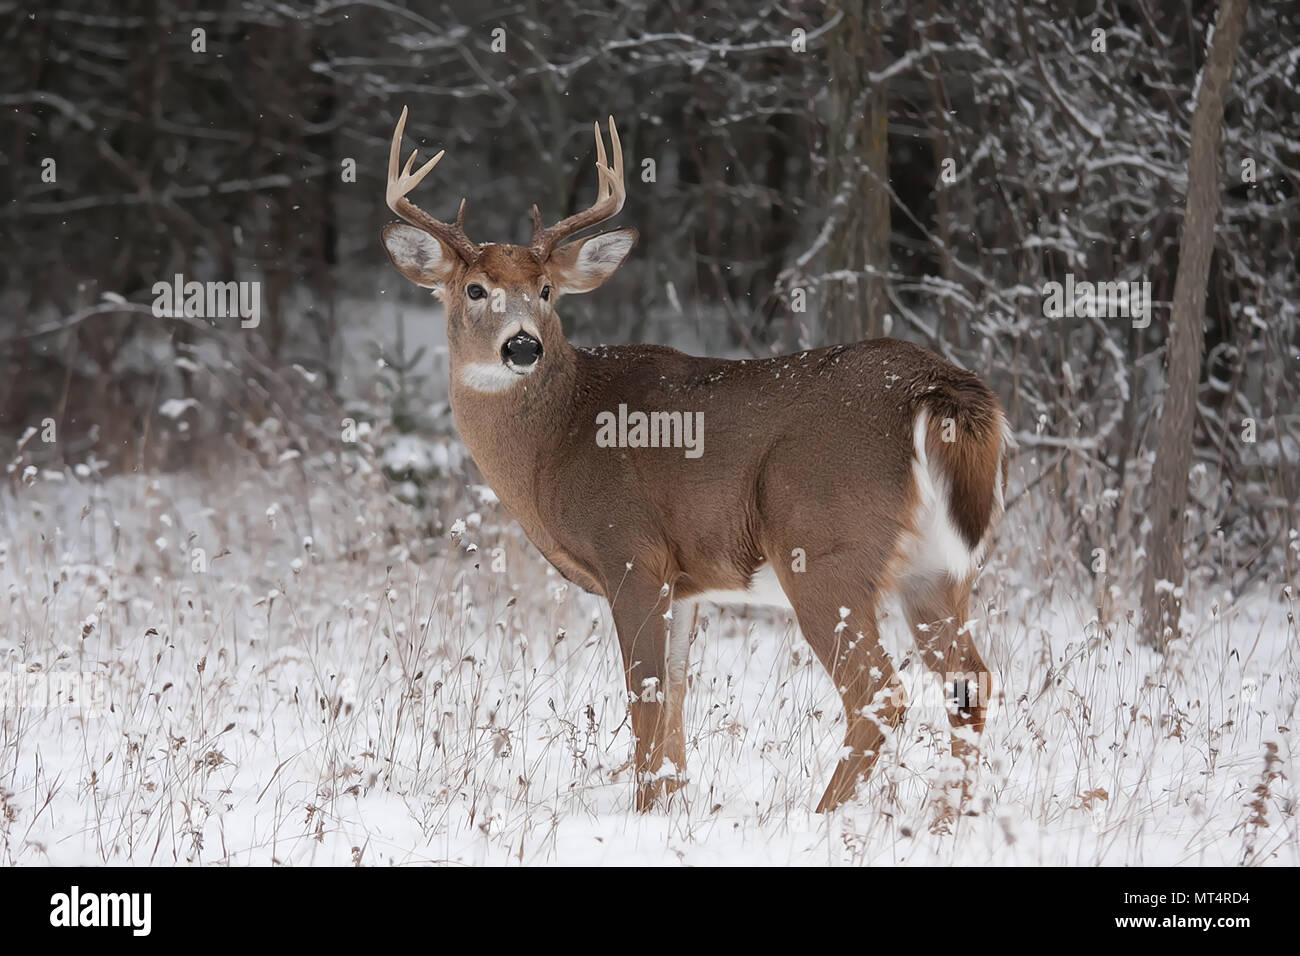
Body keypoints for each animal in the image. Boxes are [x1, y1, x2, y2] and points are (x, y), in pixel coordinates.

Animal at [381, 107, 1011, 813]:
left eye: (545, 290)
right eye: (475, 289)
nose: (522, 346)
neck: (557, 439)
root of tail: (935, 389)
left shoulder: (631, 552)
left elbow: (647, 698)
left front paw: (641, 811)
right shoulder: (682, 581)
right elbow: (679, 695)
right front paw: (670, 801)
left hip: (825, 550)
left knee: (879, 692)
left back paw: (823, 816)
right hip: (938, 568)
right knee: (970, 682)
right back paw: (948, 819)